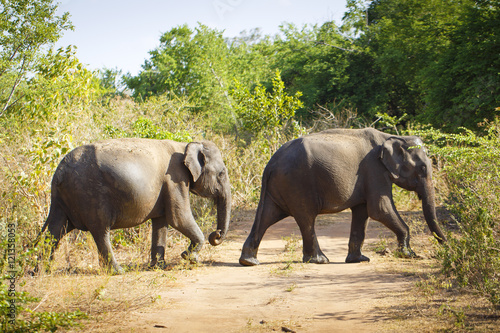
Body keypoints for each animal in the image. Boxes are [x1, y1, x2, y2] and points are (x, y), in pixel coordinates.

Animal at [39, 137, 232, 272]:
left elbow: (161, 222)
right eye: (221, 173)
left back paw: (40, 271)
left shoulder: (167, 186)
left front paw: (159, 267)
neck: (185, 144)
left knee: (54, 230)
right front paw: (190, 258)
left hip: (63, 197)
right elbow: (178, 218)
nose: (216, 234)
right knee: (100, 230)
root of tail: (59, 172)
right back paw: (117, 271)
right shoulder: (175, 180)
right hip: (89, 194)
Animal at [240, 128, 448, 266]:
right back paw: (320, 260)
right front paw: (409, 254)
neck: (391, 137)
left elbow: (363, 212)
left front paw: (359, 260)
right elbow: (379, 208)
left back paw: (249, 261)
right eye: (422, 168)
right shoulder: (374, 170)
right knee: (306, 218)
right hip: (297, 183)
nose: (445, 247)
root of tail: (270, 164)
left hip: (279, 186)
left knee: (267, 216)